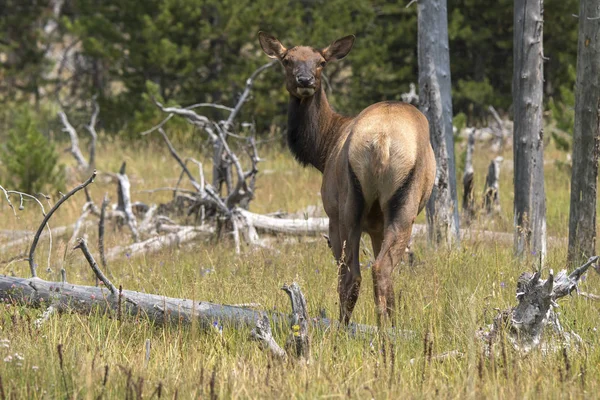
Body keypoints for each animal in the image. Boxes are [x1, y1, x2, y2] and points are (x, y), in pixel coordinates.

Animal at [258, 31, 436, 324]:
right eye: (287, 59)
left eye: (321, 62)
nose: (304, 80)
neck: (323, 148)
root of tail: (381, 141)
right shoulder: (375, 224)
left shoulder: (332, 211)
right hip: (388, 206)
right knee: (377, 270)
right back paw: (385, 327)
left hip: (348, 207)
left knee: (355, 274)